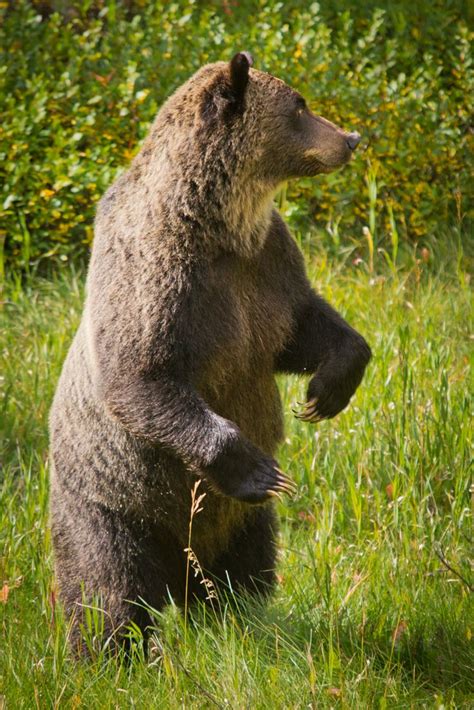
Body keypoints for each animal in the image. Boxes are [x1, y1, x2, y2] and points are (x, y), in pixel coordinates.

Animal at [50, 52, 372, 656]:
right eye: (300, 106)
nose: (351, 137)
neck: (219, 224)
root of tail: (175, 572)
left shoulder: (265, 268)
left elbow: (303, 328)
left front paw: (324, 392)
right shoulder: (160, 280)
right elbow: (141, 377)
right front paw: (262, 470)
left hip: (239, 527)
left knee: (244, 572)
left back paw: (240, 621)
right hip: (110, 501)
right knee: (106, 585)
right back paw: (110, 654)